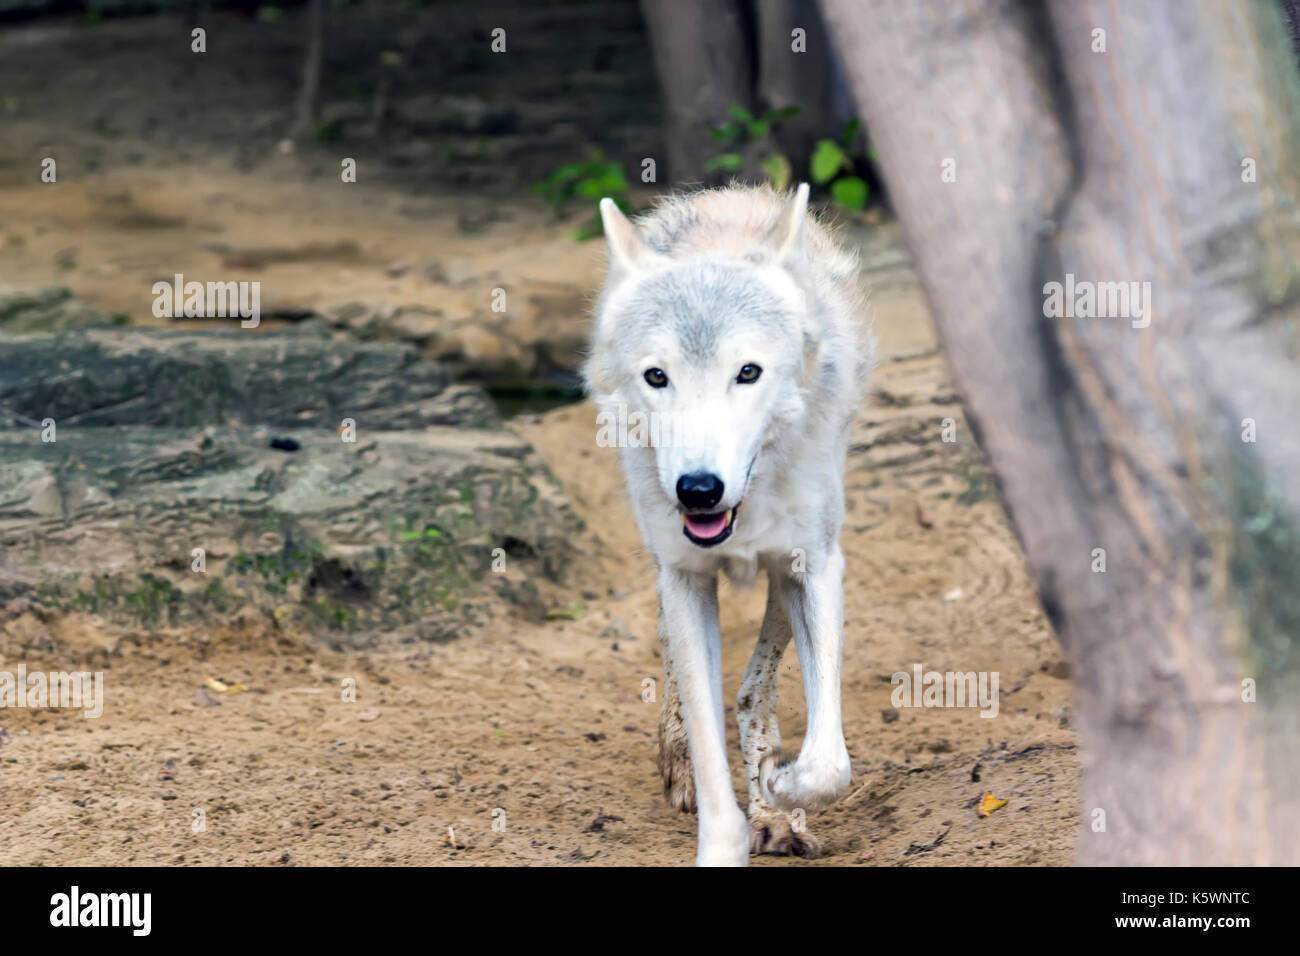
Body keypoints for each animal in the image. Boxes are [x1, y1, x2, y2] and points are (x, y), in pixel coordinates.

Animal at [587, 183, 873, 863]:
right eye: (656, 375)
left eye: (748, 372)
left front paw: (782, 788)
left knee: (755, 690)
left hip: (790, 572)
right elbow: (705, 740)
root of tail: (726, 195)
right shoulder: (685, 576)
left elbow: (829, 763)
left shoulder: (814, 567)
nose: (698, 490)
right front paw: (723, 831)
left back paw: (773, 801)